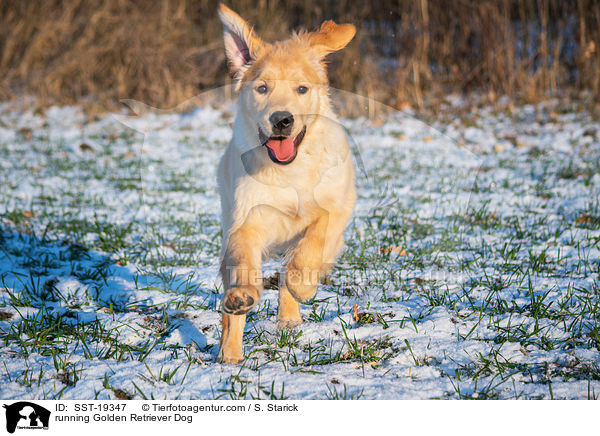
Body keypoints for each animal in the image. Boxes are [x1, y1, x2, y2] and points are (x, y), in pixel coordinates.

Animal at [217, 4, 354, 364]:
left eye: (301, 89)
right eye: (262, 88)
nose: (282, 120)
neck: (289, 170)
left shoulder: (337, 207)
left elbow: (311, 244)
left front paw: (302, 285)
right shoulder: (245, 221)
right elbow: (244, 262)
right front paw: (241, 296)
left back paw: (290, 316)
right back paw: (229, 352)